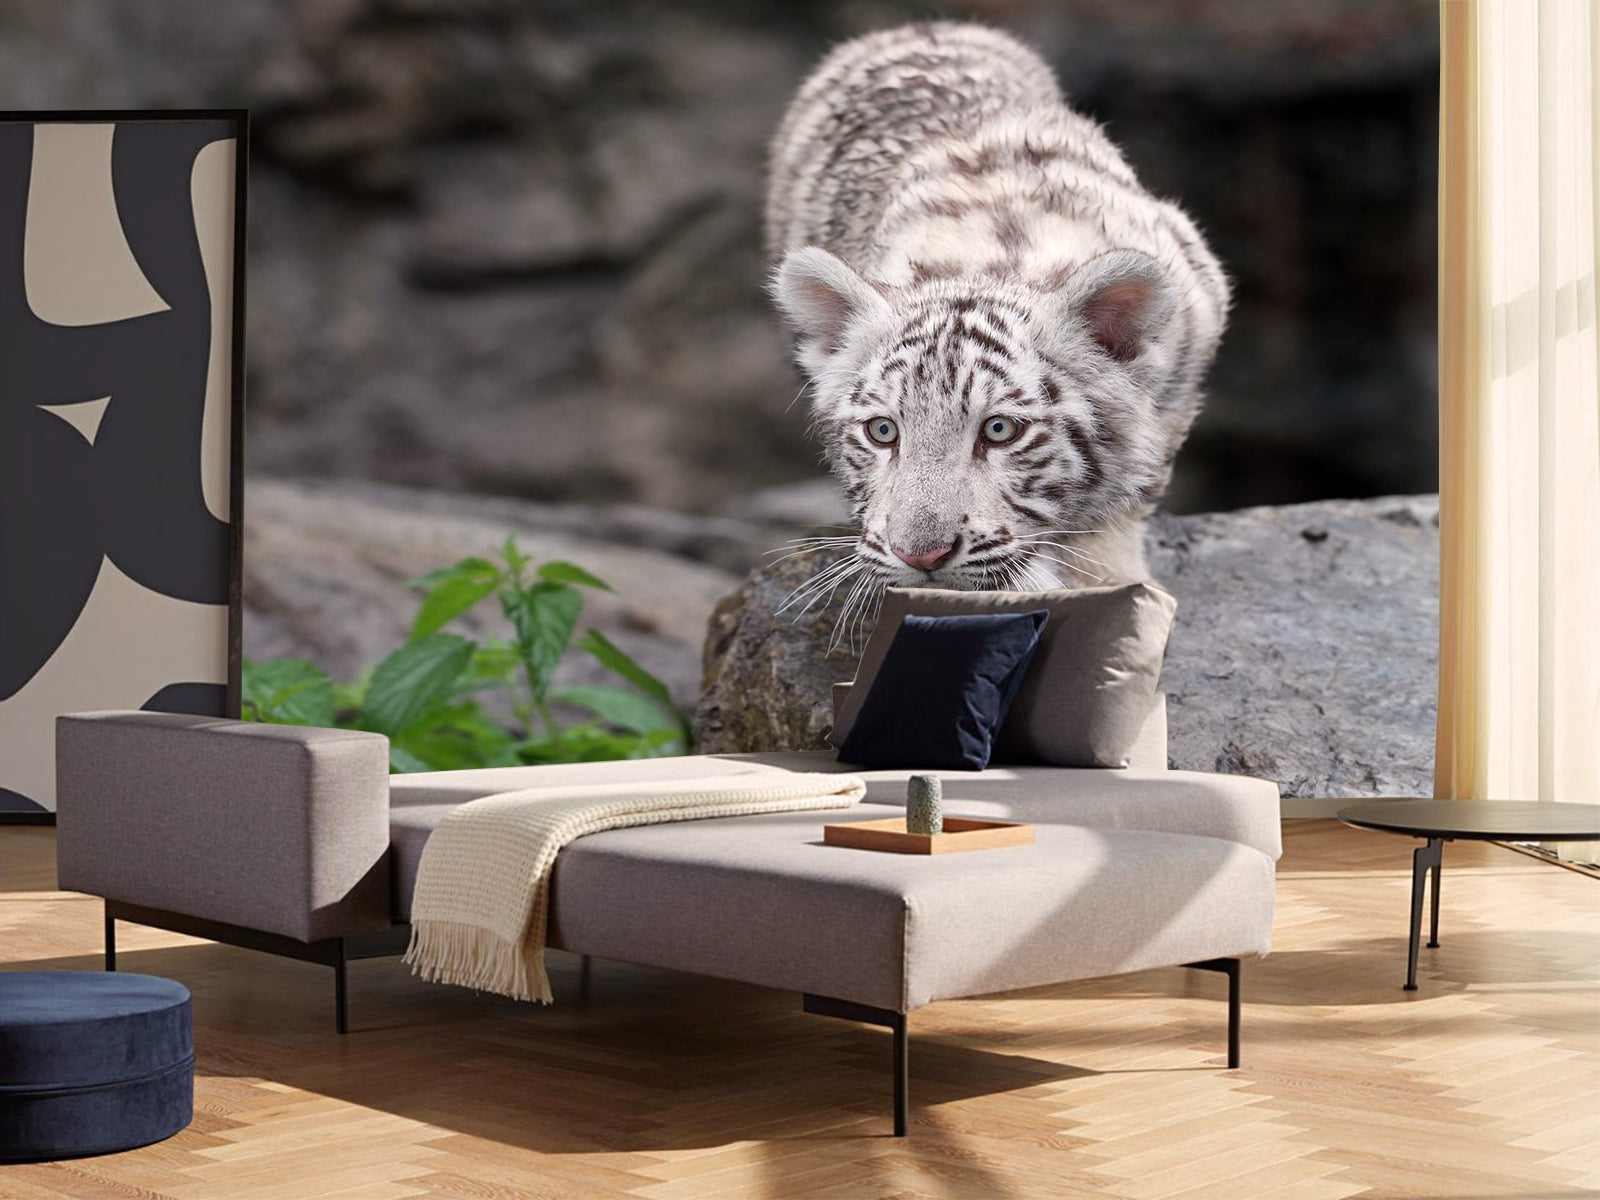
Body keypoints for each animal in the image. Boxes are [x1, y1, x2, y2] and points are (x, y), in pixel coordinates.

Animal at [764, 21, 1228, 626]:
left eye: (1000, 430)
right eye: (882, 430)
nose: (922, 555)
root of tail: (926, 24)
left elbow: (1130, 493)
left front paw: (1110, 585)